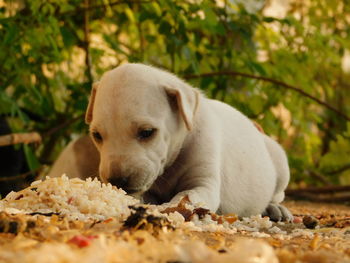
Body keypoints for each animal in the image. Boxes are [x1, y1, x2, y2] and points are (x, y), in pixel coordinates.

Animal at [80, 63, 292, 221]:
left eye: (147, 132)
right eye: (97, 135)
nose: (117, 181)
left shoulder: (204, 183)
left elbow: (186, 196)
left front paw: (171, 208)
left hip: (280, 165)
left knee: (277, 195)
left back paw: (275, 209)